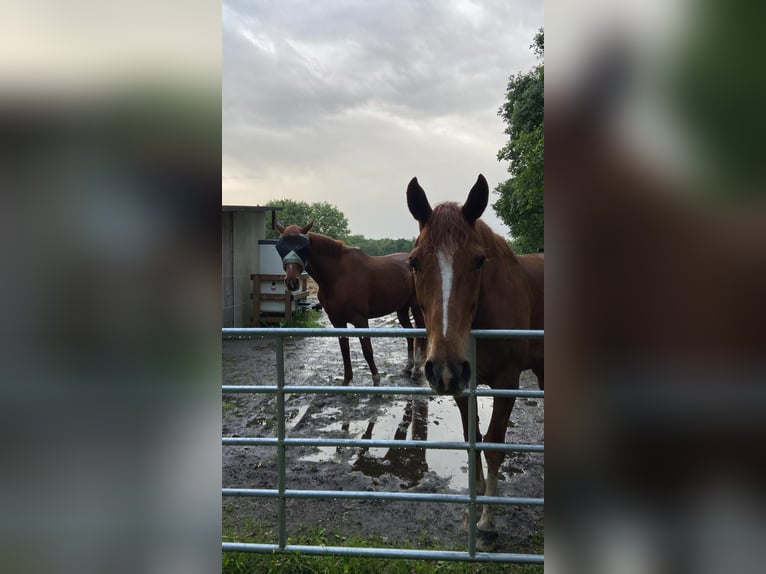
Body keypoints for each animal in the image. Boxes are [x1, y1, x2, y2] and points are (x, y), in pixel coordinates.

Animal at [276, 222, 426, 388]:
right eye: (279, 247)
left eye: (303, 247)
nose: (292, 281)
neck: (339, 275)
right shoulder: (337, 321)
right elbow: (344, 349)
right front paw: (346, 380)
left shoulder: (360, 319)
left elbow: (367, 349)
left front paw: (376, 378)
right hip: (402, 309)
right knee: (410, 335)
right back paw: (409, 366)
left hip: (416, 308)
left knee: (421, 334)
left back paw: (417, 370)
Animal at [408, 174, 544, 552]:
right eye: (413, 262)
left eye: (479, 261)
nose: (443, 367)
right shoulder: (462, 387)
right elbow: (474, 439)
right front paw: (478, 498)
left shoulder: (507, 382)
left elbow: (494, 446)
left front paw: (487, 525)